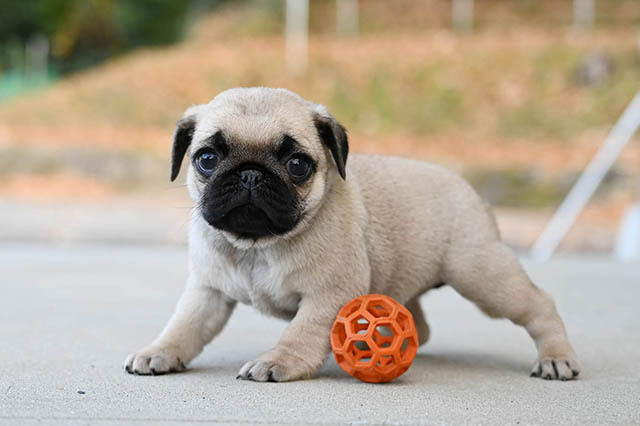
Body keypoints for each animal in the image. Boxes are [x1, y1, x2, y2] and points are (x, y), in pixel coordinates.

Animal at [124, 87, 580, 382]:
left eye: (297, 164)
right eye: (206, 158)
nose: (250, 174)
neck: (258, 246)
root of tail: (469, 190)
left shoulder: (328, 295)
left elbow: (300, 332)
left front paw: (278, 361)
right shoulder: (209, 292)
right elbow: (184, 326)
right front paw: (159, 352)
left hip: (481, 275)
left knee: (539, 304)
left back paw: (556, 358)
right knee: (418, 324)